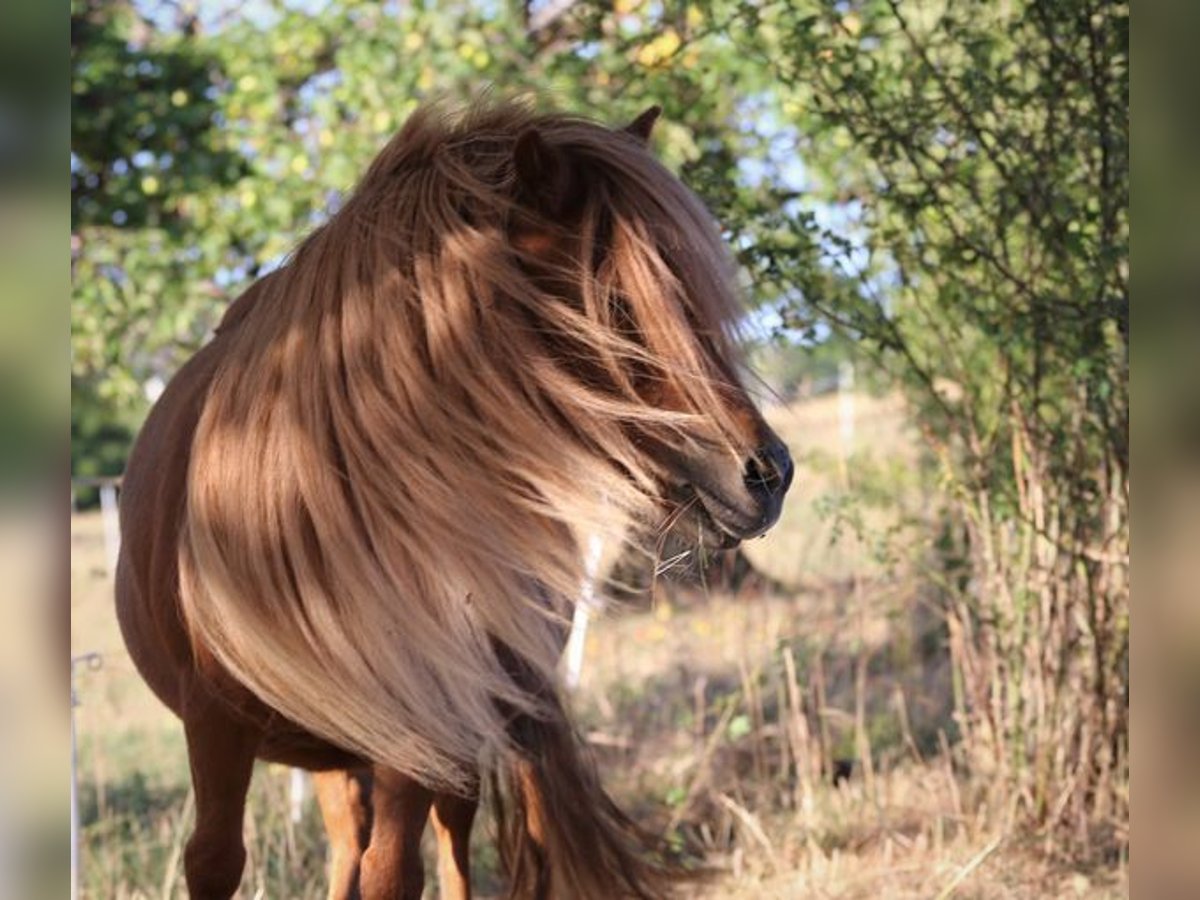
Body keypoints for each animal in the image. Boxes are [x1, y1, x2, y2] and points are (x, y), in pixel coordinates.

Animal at [117, 100, 792, 900]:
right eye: (617, 305)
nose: (770, 474)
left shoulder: (428, 729)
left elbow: (397, 869)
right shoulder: (214, 727)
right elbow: (216, 860)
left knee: (441, 840)